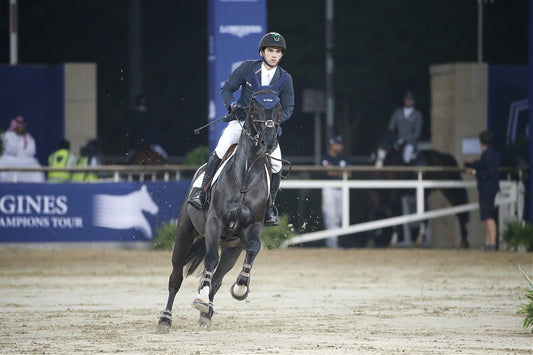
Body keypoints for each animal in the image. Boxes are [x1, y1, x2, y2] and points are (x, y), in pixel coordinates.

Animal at [156, 89, 282, 334]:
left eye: (279, 109)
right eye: (254, 108)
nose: (269, 142)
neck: (245, 176)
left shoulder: (252, 228)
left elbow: (253, 248)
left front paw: (241, 288)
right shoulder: (214, 223)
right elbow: (210, 260)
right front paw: (201, 297)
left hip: (232, 248)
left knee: (218, 279)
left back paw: (206, 315)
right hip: (184, 233)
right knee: (176, 277)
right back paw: (165, 319)